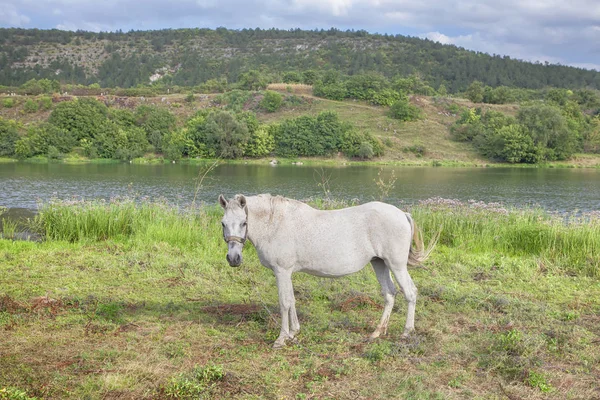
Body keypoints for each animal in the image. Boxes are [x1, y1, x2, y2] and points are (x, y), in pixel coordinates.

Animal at [218, 194, 434, 346]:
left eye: (244, 223)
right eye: (223, 223)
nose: (233, 259)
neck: (275, 223)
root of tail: (402, 214)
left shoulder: (282, 271)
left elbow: (284, 302)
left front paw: (281, 338)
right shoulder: (287, 273)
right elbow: (292, 300)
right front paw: (294, 332)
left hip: (396, 265)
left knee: (410, 292)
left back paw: (406, 332)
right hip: (379, 263)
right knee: (389, 294)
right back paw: (377, 332)